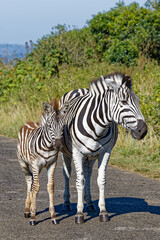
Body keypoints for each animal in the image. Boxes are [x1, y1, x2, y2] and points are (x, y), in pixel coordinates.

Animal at [17, 98, 69, 226]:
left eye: (63, 126)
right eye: (50, 126)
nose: (58, 145)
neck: (48, 147)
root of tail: (29, 122)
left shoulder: (52, 164)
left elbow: (50, 187)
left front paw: (53, 216)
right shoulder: (35, 165)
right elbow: (36, 188)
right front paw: (33, 217)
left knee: (31, 181)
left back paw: (30, 209)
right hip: (24, 163)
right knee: (29, 181)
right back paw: (27, 210)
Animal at [59, 71, 147, 223]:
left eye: (138, 101)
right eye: (124, 102)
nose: (143, 131)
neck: (97, 127)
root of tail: (78, 89)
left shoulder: (105, 152)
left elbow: (100, 180)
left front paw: (103, 211)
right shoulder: (77, 153)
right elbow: (79, 181)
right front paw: (79, 213)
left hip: (90, 156)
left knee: (88, 175)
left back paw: (89, 204)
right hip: (67, 152)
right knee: (67, 174)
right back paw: (67, 203)